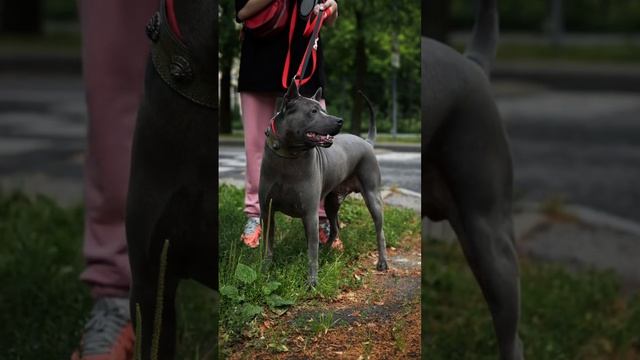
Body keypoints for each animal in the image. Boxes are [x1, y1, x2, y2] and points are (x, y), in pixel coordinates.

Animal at [258, 79, 388, 286]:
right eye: (313, 111)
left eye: (323, 110)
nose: (339, 120)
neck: (290, 156)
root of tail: (367, 142)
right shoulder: (267, 211)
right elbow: (268, 244)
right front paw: (265, 268)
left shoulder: (310, 214)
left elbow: (312, 251)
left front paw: (312, 281)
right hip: (331, 202)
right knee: (335, 227)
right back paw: (327, 250)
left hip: (372, 196)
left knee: (380, 230)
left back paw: (382, 262)